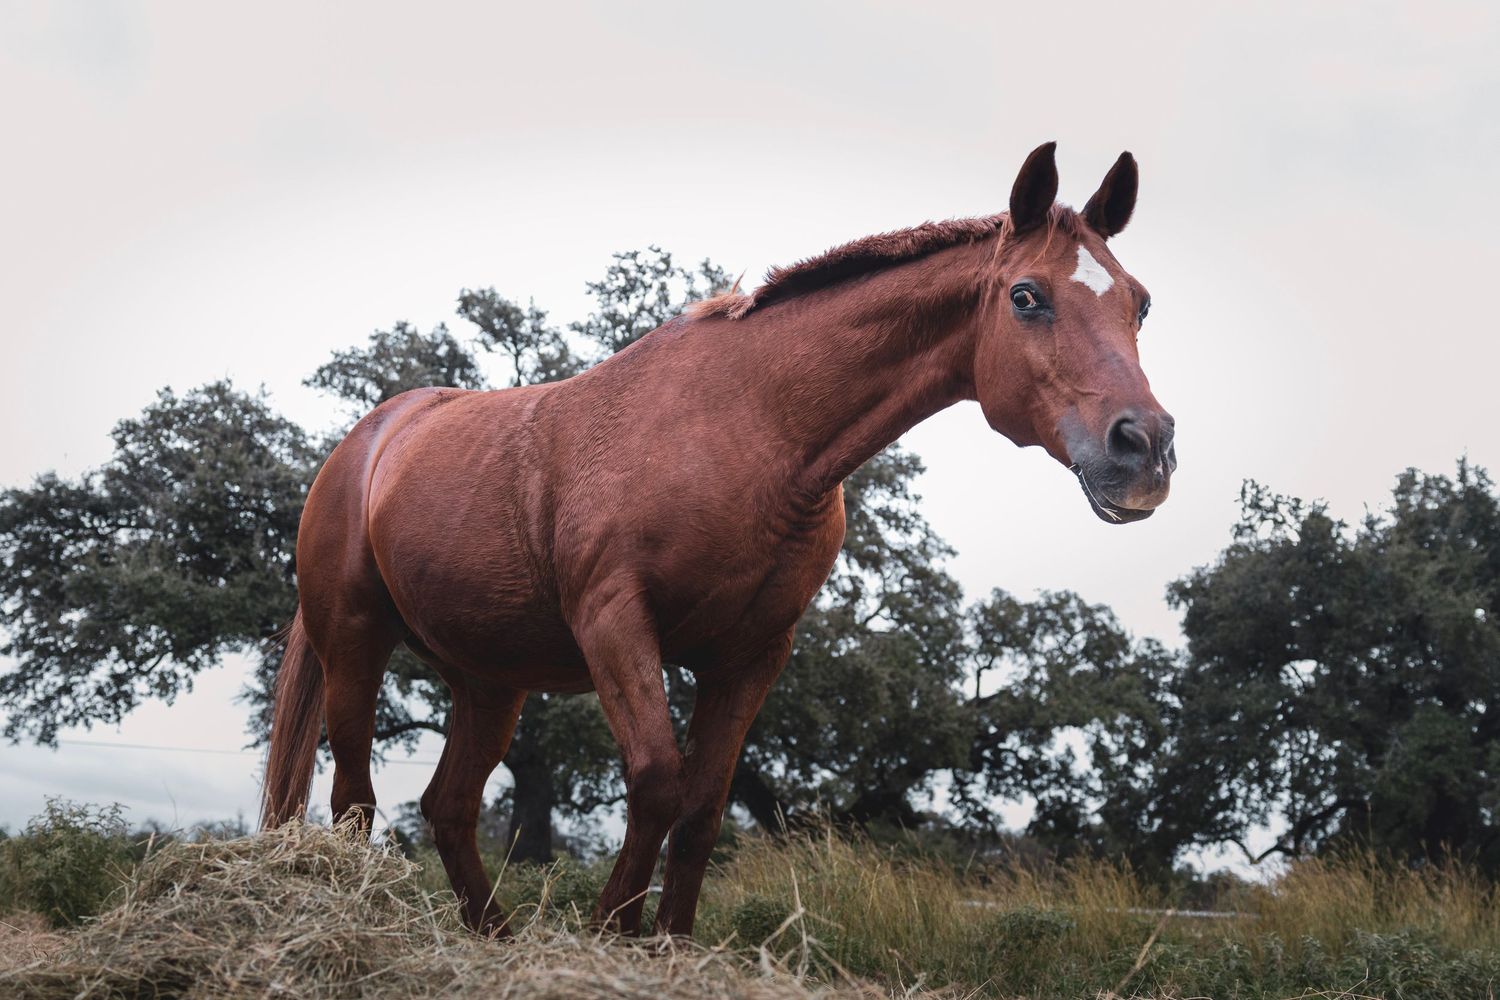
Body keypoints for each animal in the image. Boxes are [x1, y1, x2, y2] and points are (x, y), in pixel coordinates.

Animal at [260, 141, 1176, 938]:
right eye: (1026, 296)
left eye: (1139, 301)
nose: (1146, 448)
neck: (755, 430)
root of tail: (370, 439)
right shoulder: (616, 622)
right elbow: (658, 782)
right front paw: (611, 929)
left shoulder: (752, 652)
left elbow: (702, 806)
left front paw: (665, 940)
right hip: (356, 641)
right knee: (352, 796)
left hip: (489, 678)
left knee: (446, 809)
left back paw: (493, 935)